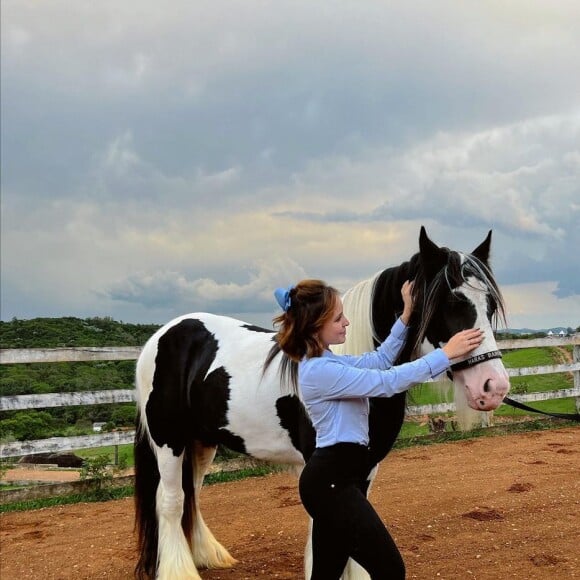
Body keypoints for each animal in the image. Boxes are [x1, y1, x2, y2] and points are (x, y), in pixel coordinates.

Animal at [134, 228, 510, 580]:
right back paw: (179, 570)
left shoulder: (364, 470)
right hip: (170, 440)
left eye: (489, 305)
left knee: (192, 497)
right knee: (171, 501)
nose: (494, 387)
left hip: (202, 442)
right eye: (451, 302)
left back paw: (206, 556)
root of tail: (163, 335)